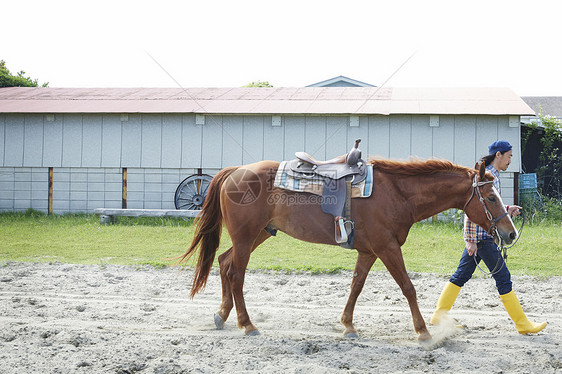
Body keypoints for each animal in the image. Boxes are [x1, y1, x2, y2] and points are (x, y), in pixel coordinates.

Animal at [179, 158, 516, 342]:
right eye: (491, 197)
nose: (510, 233)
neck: (397, 193)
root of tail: (235, 171)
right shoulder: (386, 247)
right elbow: (408, 287)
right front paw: (423, 332)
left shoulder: (369, 251)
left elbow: (356, 285)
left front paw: (348, 326)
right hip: (247, 238)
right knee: (236, 274)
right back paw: (247, 324)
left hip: (257, 235)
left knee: (224, 263)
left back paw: (222, 315)